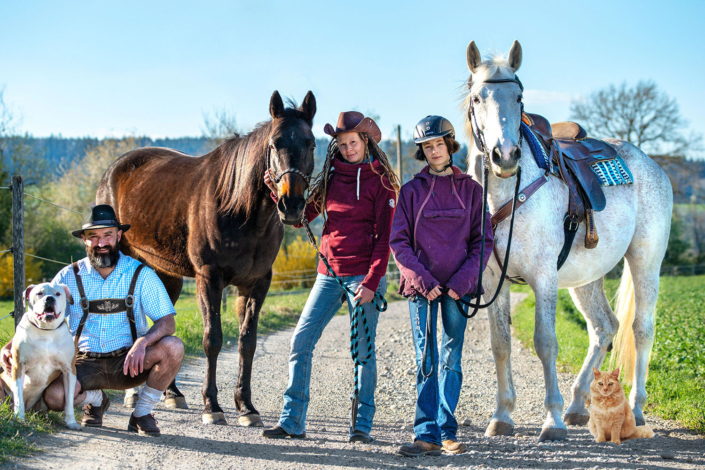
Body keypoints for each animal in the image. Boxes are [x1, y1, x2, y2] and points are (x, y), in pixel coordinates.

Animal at [96, 92, 316, 426]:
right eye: (274, 144)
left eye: (312, 143)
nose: (291, 205)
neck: (239, 208)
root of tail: (113, 170)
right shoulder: (208, 278)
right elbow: (212, 339)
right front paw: (212, 406)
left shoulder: (257, 283)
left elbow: (247, 342)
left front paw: (246, 406)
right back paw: (134, 393)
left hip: (166, 276)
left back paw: (172, 393)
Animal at [462, 39, 672, 440]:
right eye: (478, 97)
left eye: (519, 96)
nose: (505, 155)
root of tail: (651, 164)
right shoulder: (493, 280)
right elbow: (500, 344)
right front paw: (502, 415)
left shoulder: (543, 277)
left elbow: (546, 343)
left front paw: (552, 420)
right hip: (585, 279)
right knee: (605, 327)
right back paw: (578, 404)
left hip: (646, 261)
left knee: (641, 329)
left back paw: (635, 409)